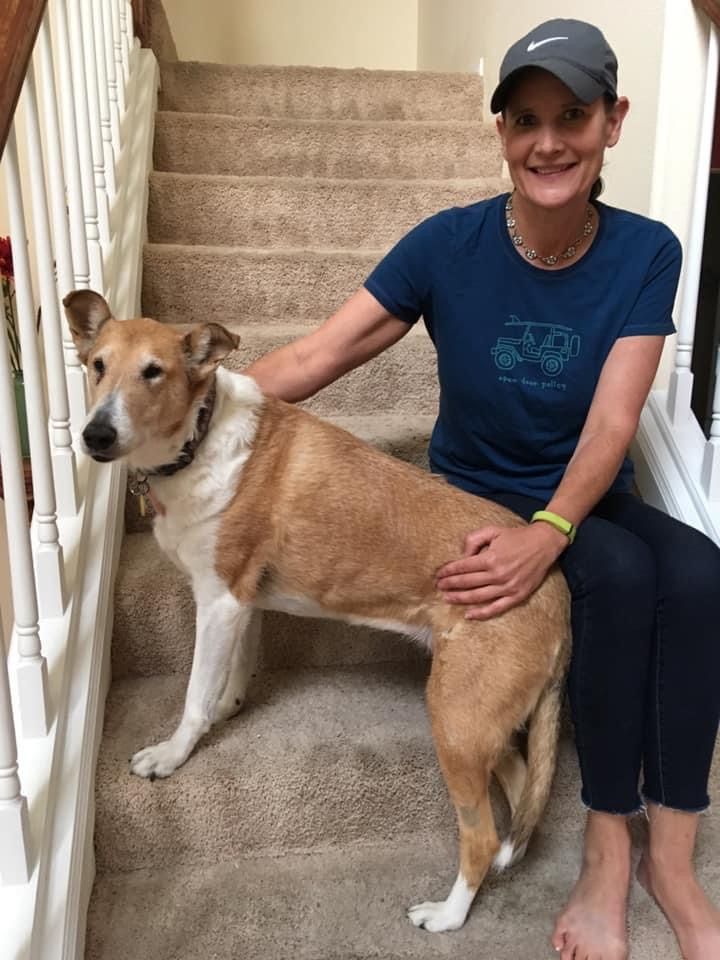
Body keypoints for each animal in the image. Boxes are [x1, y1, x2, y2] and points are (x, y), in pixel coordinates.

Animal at [64, 289, 570, 933]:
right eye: (97, 365)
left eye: (153, 372)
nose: (95, 436)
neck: (197, 440)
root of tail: (554, 582)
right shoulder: (242, 603)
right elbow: (234, 674)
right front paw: (229, 710)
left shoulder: (218, 601)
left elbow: (195, 696)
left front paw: (172, 755)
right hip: (479, 721)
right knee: (524, 796)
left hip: (456, 722)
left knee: (480, 838)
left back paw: (447, 915)